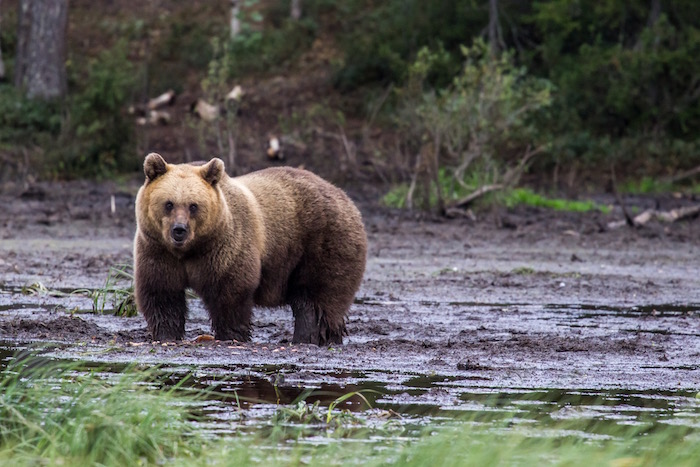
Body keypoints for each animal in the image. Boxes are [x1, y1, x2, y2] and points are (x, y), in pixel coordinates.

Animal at [133, 152, 370, 346]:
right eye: (169, 203)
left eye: (193, 205)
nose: (179, 230)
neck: (190, 250)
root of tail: (343, 195)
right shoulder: (158, 250)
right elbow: (162, 292)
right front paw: (166, 334)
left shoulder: (224, 247)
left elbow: (229, 292)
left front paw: (231, 335)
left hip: (323, 241)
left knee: (316, 298)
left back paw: (308, 338)